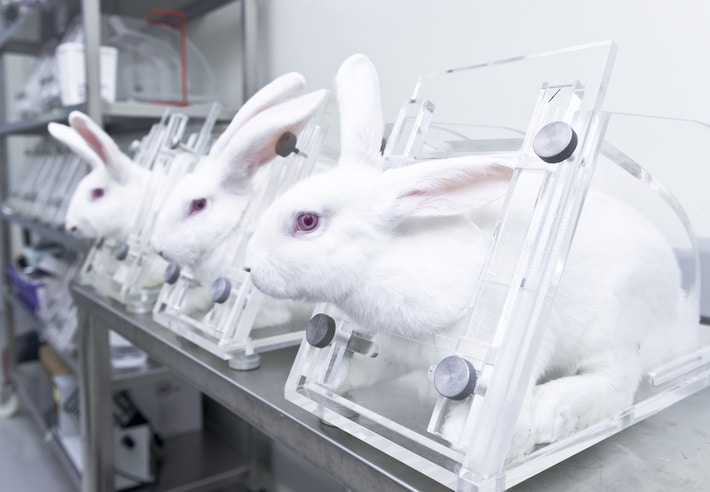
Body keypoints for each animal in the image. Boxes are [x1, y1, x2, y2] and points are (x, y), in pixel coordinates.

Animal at [243, 54, 696, 458]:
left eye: (306, 221)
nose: (248, 266)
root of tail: (680, 320)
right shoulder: (395, 349)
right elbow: (369, 367)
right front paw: (336, 389)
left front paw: (487, 436)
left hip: (614, 329)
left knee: (616, 386)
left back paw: (549, 413)